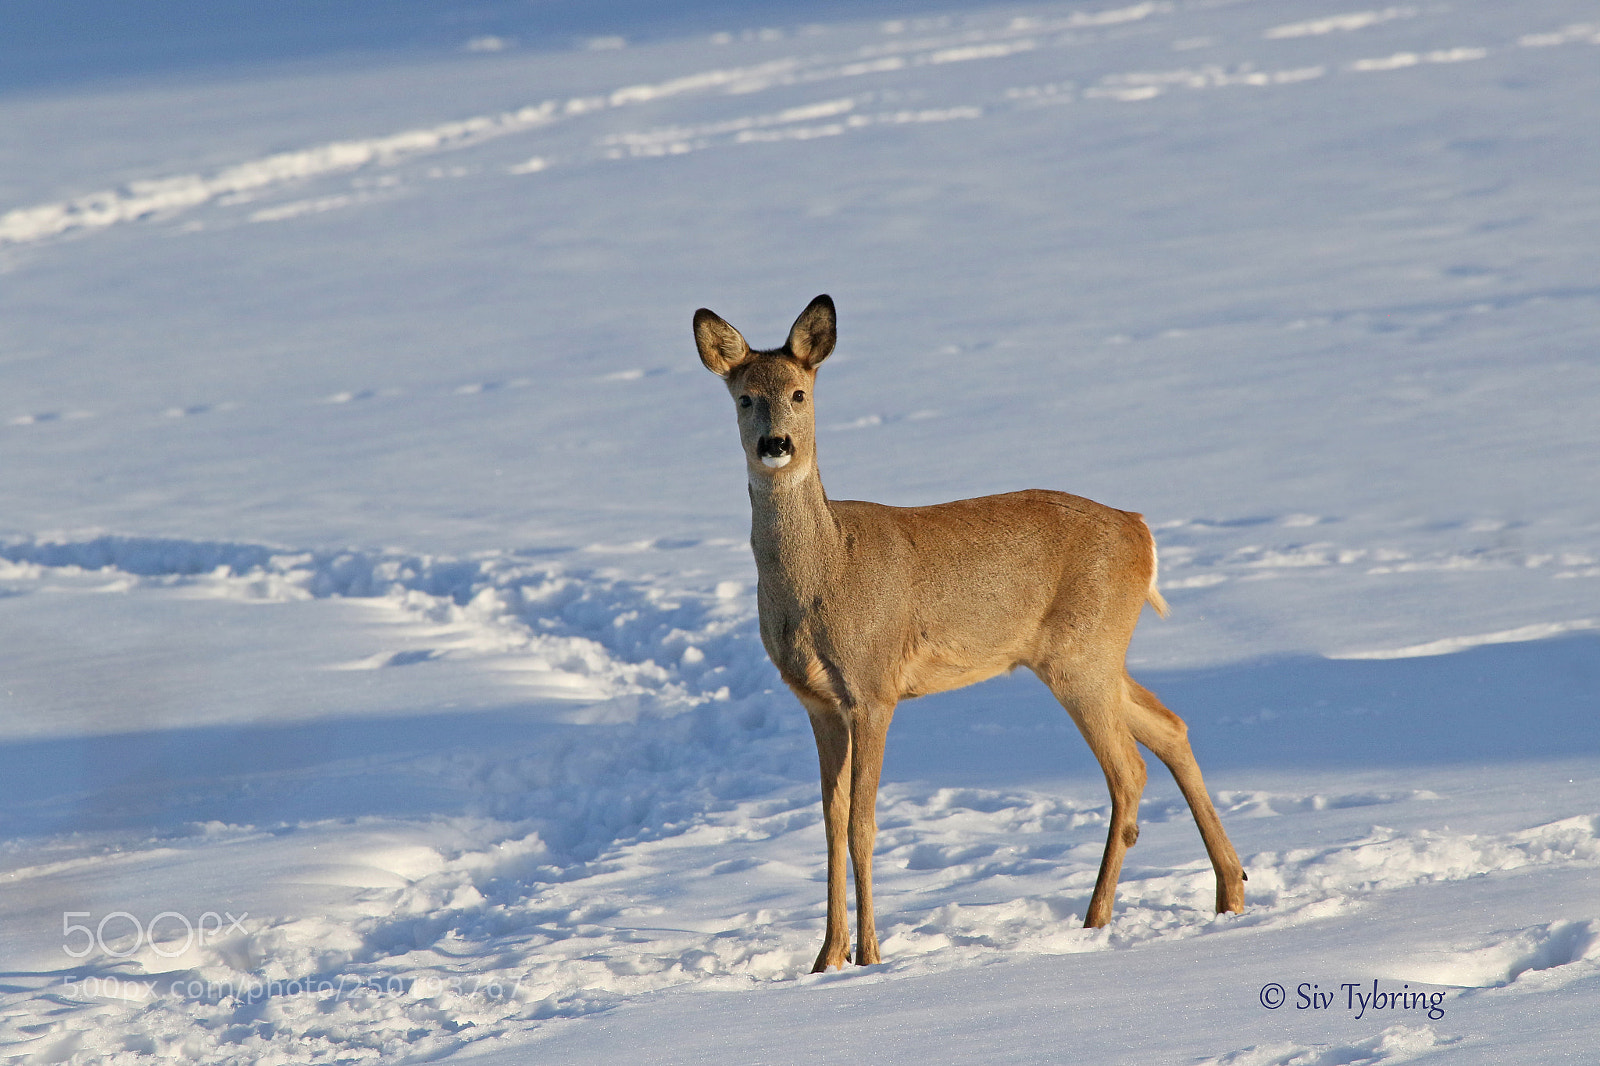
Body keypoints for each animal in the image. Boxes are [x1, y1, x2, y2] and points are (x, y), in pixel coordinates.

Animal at [693, 294, 1246, 972]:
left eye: (799, 393)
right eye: (746, 397)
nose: (776, 444)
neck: (825, 571)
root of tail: (1142, 532)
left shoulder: (873, 688)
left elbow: (861, 825)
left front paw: (869, 957)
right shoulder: (818, 702)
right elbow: (828, 824)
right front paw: (824, 960)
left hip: (1082, 655)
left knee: (1129, 770)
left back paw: (1095, 921)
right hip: (1090, 654)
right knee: (1171, 727)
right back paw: (1230, 892)